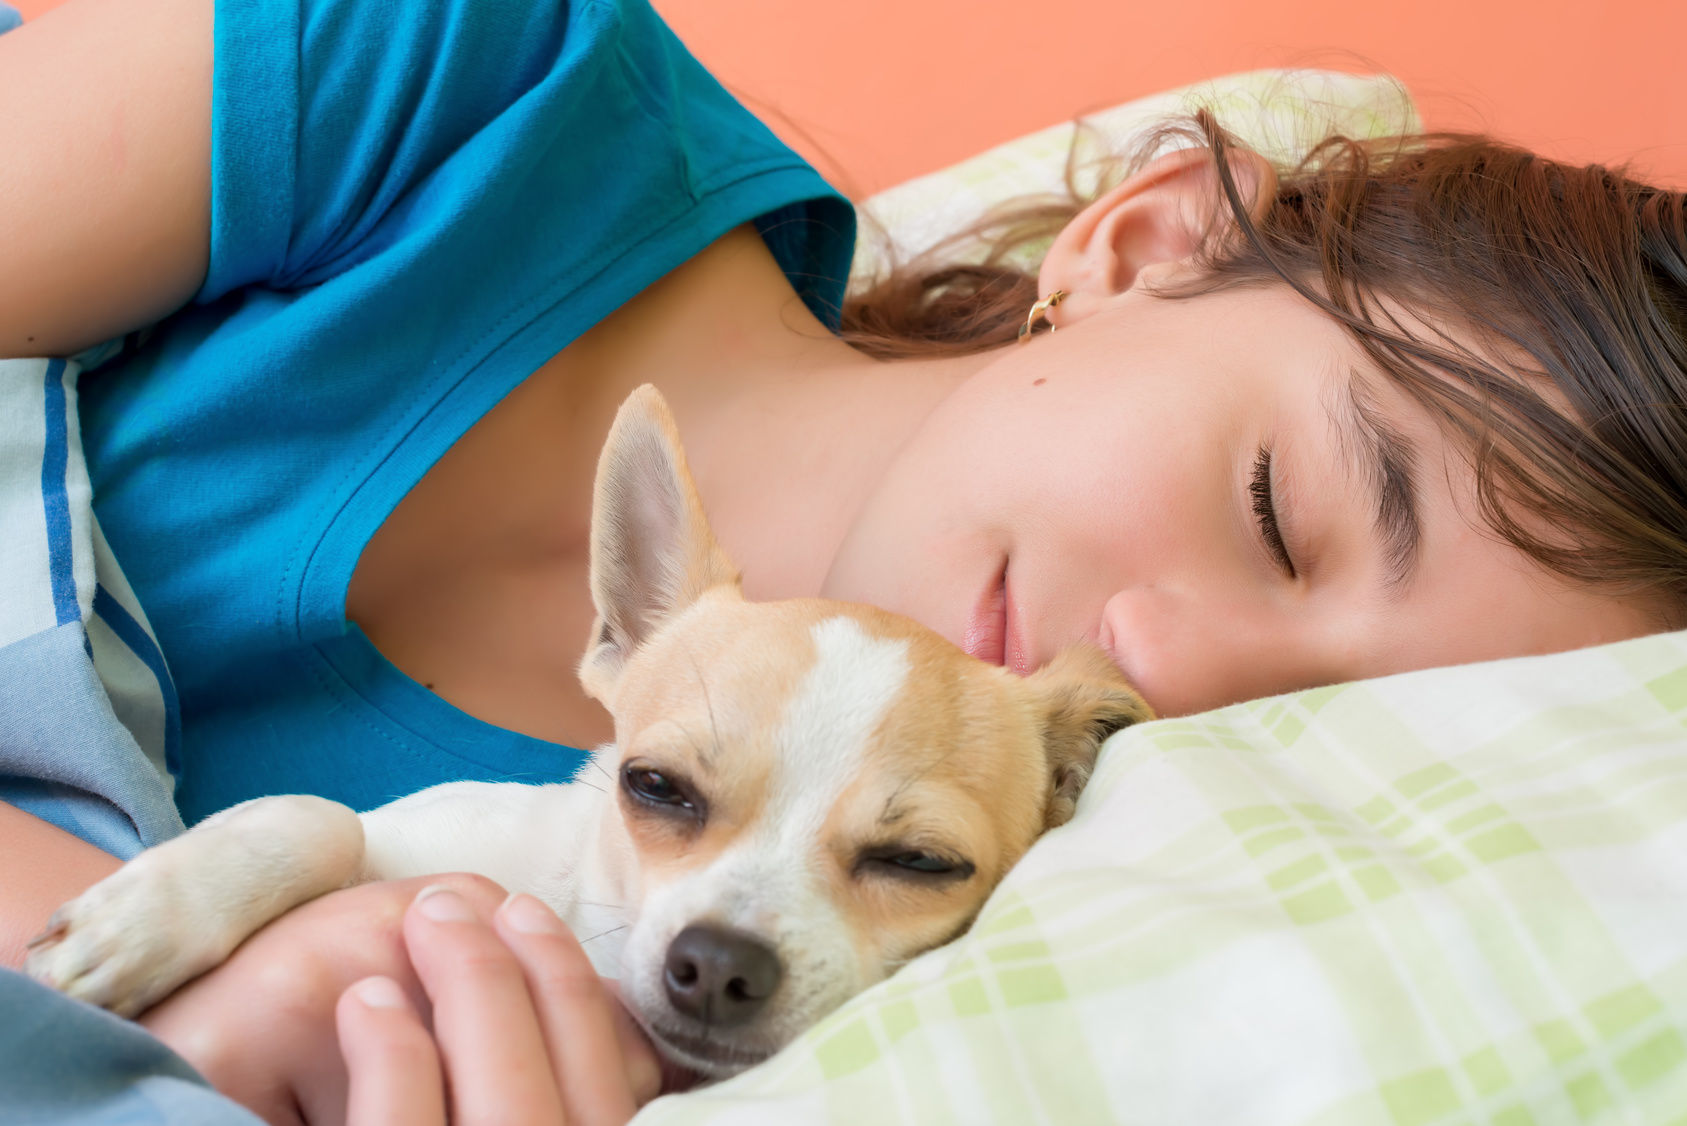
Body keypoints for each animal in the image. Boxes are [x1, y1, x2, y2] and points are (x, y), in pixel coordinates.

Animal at [26, 384, 1153, 1073]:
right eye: (655, 787)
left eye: (920, 863)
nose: (718, 962)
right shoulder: (412, 840)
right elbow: (319, 818)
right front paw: (142, 918)